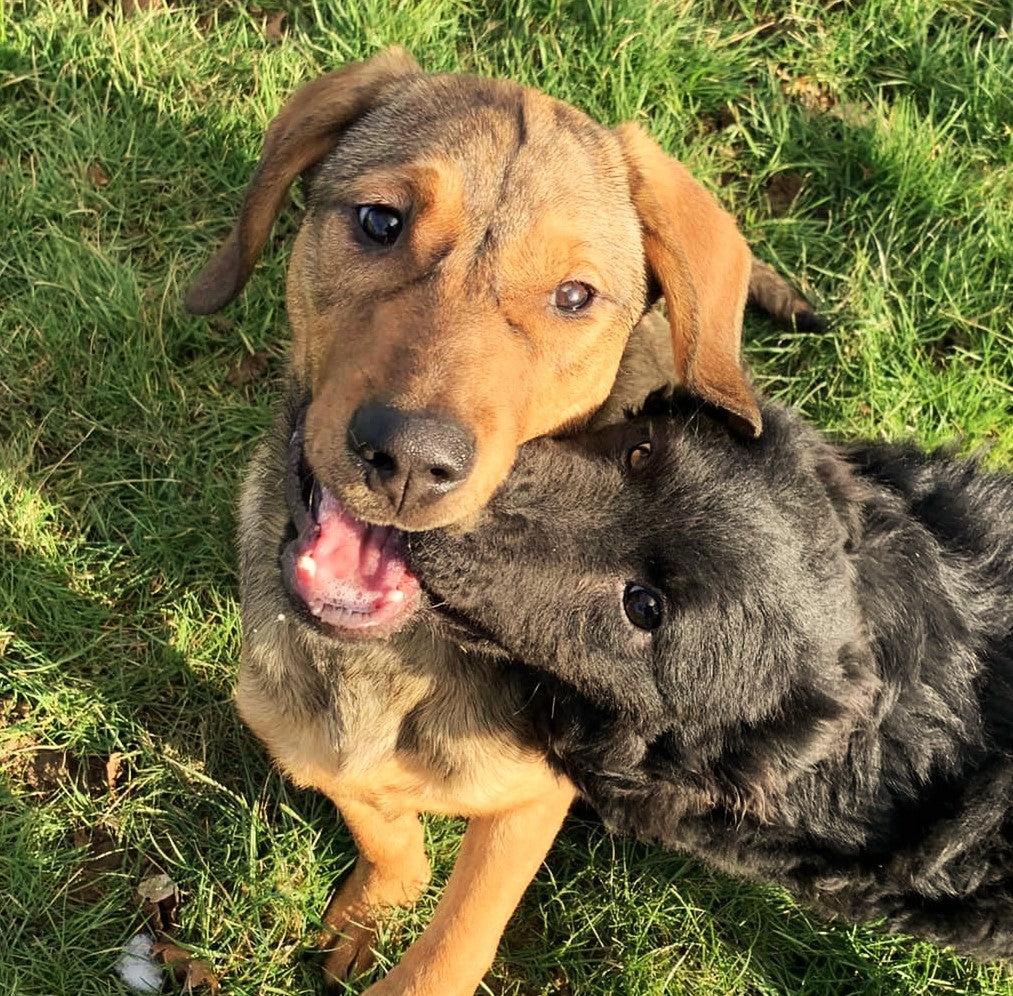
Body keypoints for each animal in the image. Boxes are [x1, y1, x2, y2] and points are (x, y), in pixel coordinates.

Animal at [188, 48, 822, 996]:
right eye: (379, 220)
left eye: (573, 296)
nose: (409, 459)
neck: (393, 658)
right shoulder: (303, 735)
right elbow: (381, 823)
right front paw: (377, 905)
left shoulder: (530, 799)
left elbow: (451, 946)